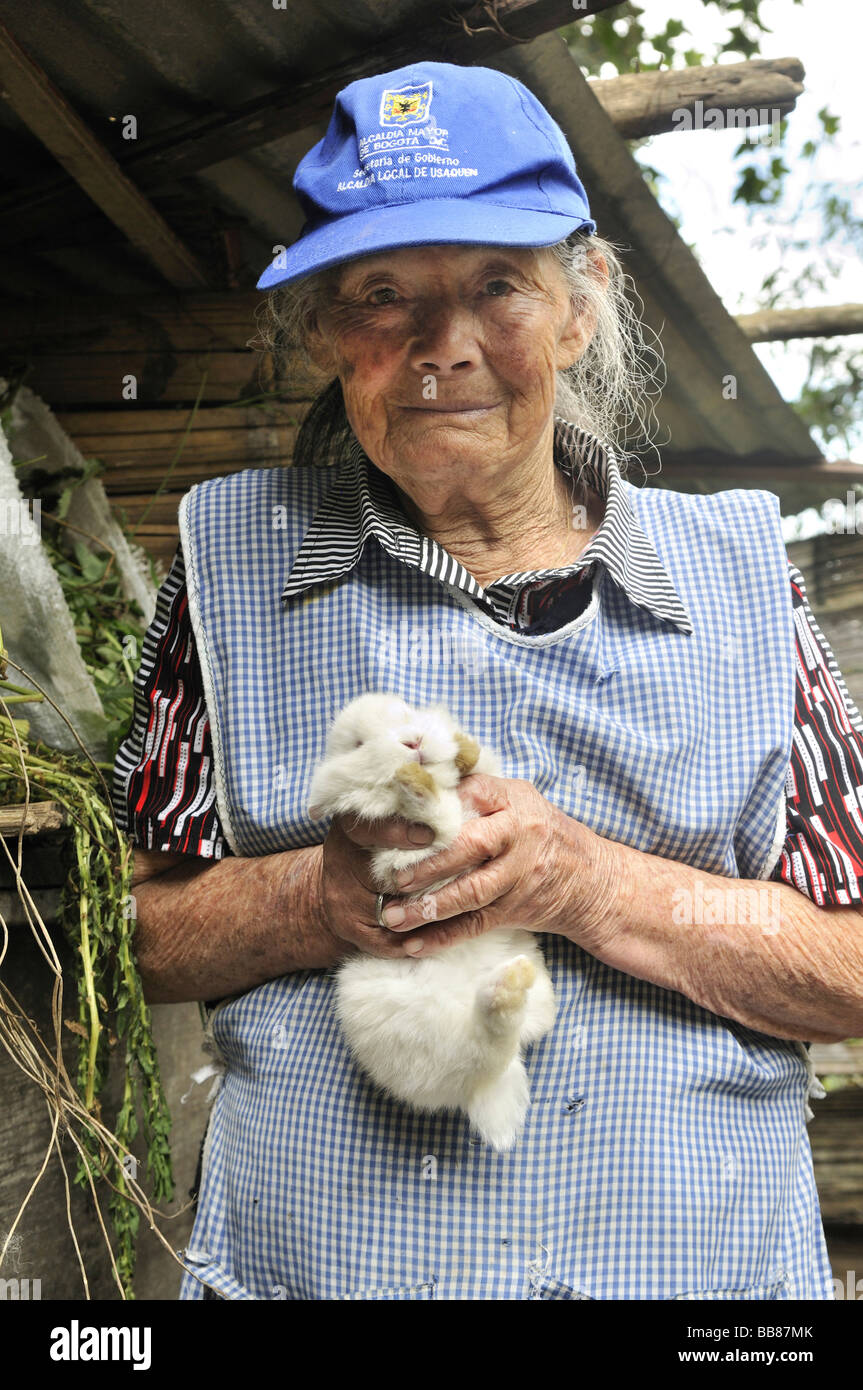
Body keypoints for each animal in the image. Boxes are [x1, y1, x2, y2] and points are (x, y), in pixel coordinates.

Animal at [305, 692, 555, 1150]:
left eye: (407, 712)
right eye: (358, 744)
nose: (413, 742)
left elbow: (482, 768)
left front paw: (463, 750)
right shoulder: (405, 855)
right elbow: (443, 822)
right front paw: (414, 784)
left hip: (537, 1004)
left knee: (508, 1040)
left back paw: (512, 982)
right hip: (409, 1023)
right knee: (481, 1051)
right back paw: (505, 989)